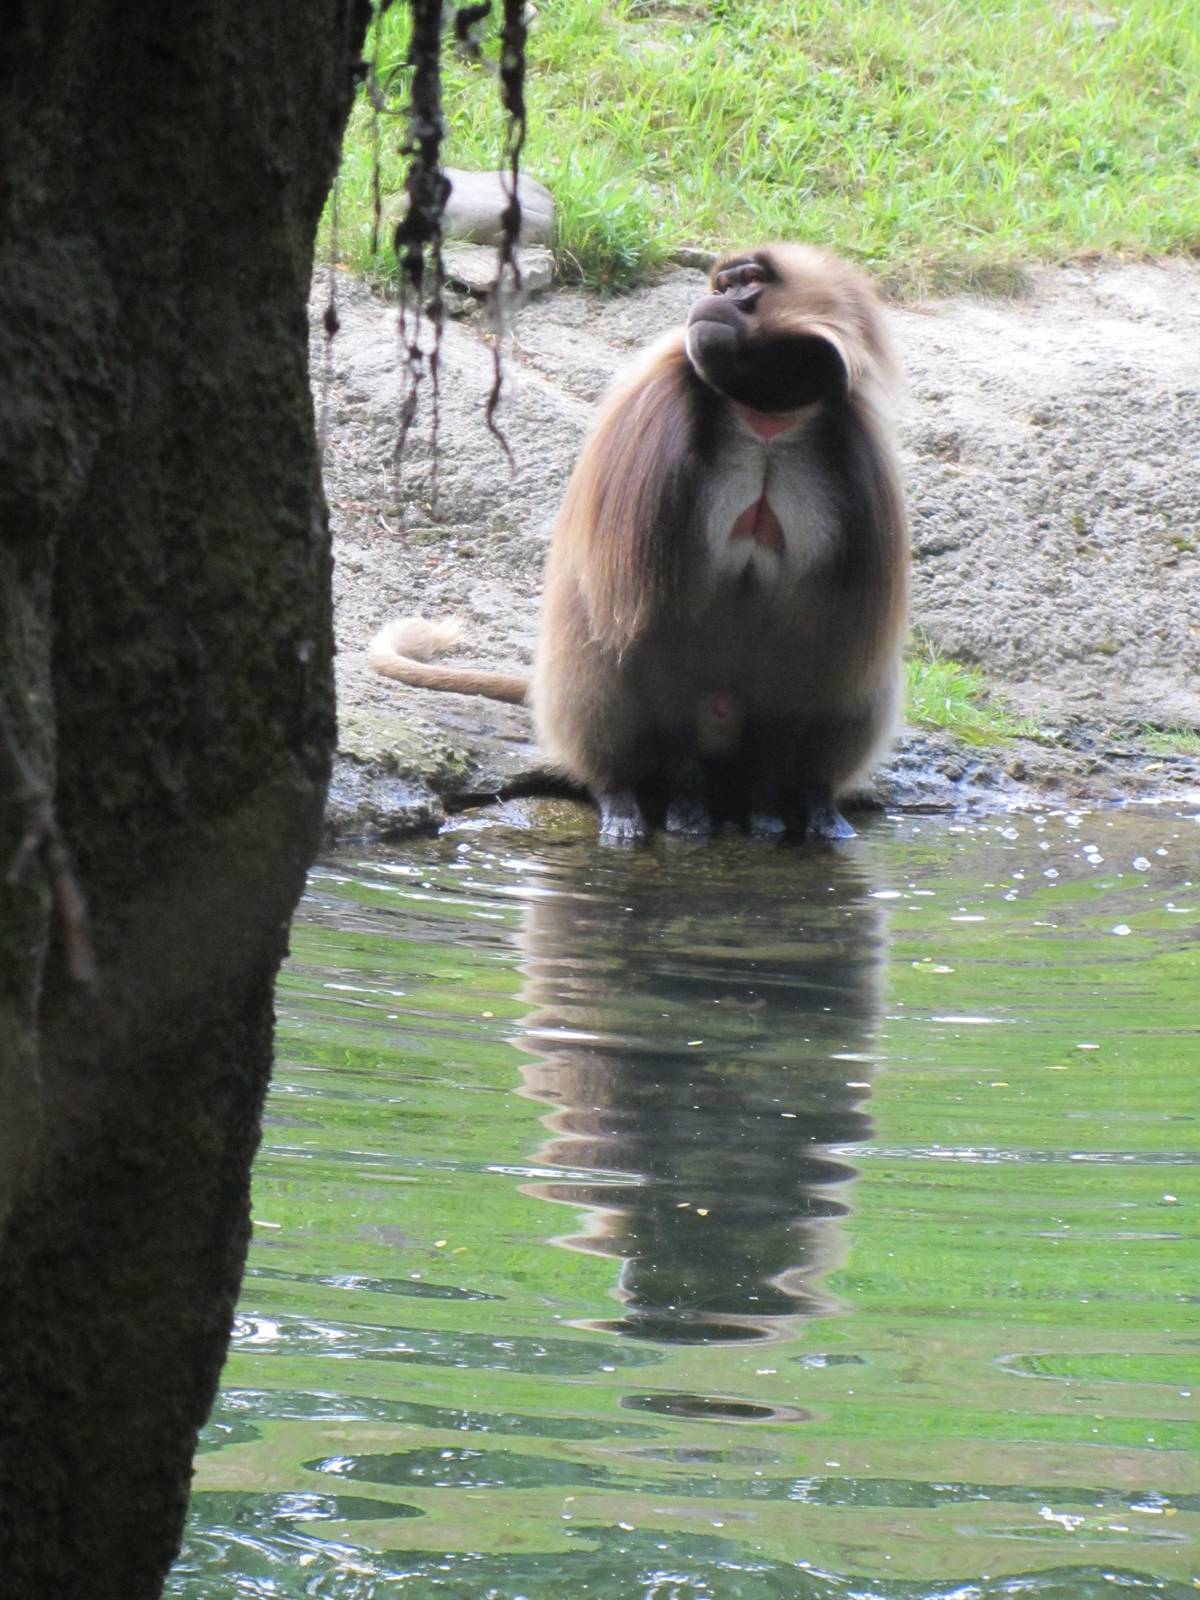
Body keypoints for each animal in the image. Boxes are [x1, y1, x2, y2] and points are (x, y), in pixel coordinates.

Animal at [369, 243, 908, 843]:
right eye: (725, 285)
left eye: (746, 283)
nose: (709, 301)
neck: (766, 420)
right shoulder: (655, 429)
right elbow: (655, 634)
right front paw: (688, 811)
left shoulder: (857, 460)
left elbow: (815, 651)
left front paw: (770, 810)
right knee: (604, 660)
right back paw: (621, 799)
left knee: (846, 682)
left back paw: (816, 806)